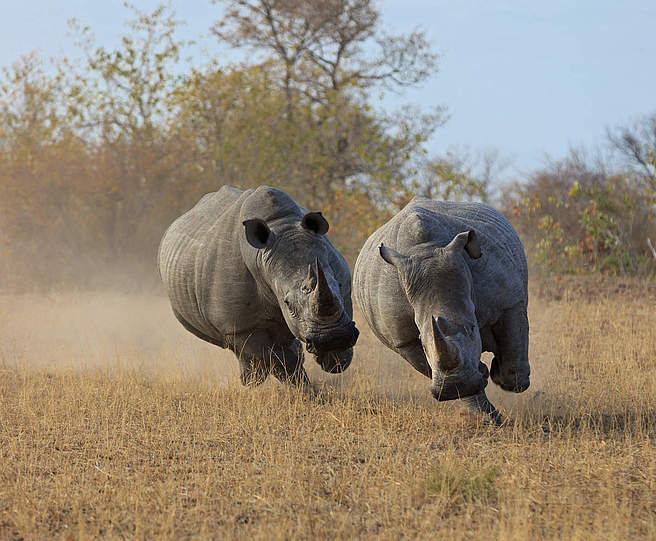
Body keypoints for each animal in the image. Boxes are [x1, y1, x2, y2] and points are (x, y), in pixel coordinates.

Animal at [160, 185, 362, 384]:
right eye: (288, 304)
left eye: (339, 287)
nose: (333, 339)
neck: (281, 225)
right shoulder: (239, 326)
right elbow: (274, 358)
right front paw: (298, 384)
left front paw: (335, 361)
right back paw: (252, 380)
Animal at [352, 196, 532, 420]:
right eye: (421, 340)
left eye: (473, 328)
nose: (456, 385)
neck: (425, 249)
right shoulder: (403, 340)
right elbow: (427, 362)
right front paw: (476, 383)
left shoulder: (509, 302)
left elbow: (514, 346)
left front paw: (501, 377)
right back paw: (488, 416)